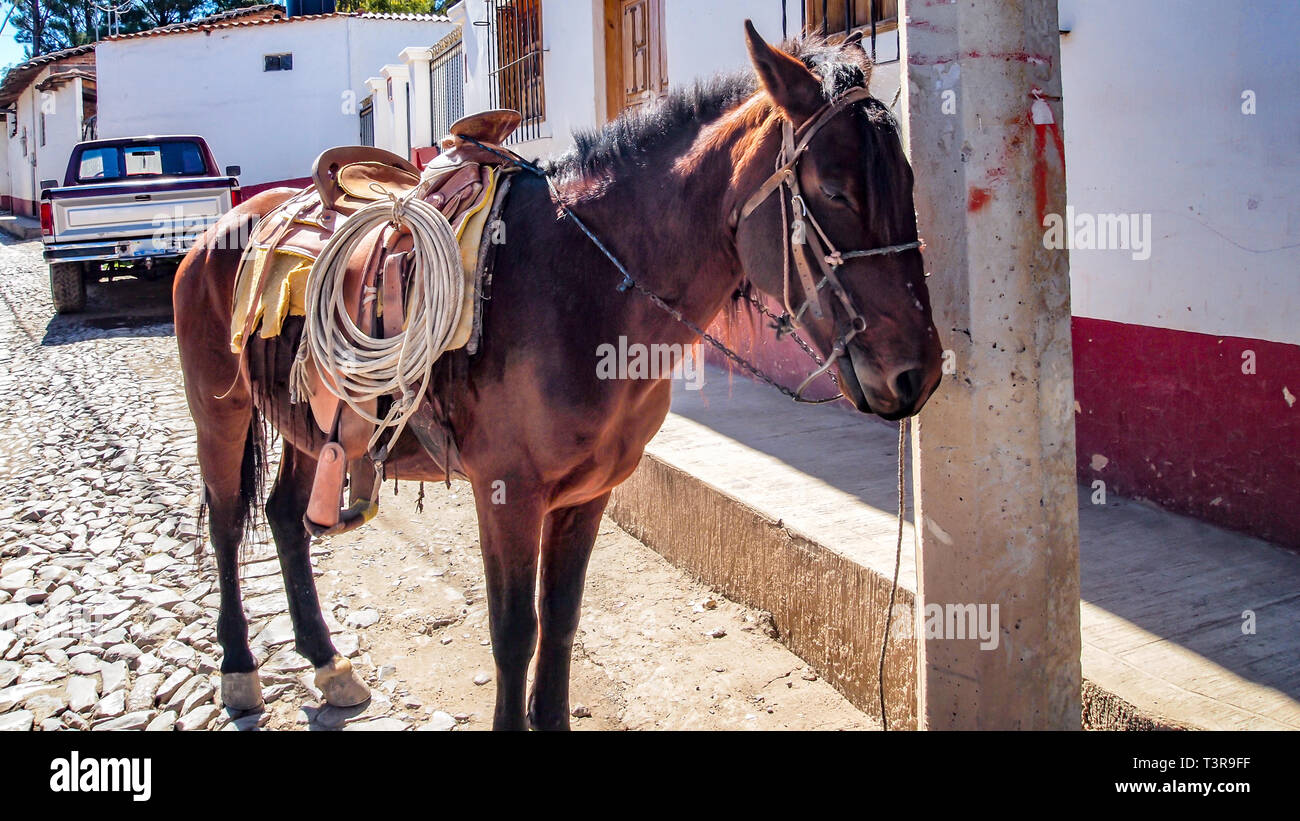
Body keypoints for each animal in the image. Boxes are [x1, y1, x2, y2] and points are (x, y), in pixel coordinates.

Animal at [173, 22, 943, 731]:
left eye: (911, 181)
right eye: (834, 189)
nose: (919, 373)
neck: (585, 285)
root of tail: (224, 228)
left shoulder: (589, 492)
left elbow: (563, 619)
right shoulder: (507, 493)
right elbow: (516, 633)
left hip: (312, 428)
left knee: (284, 517)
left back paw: (329, 663)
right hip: (221, 416)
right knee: (226, 524)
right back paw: (239, 671)